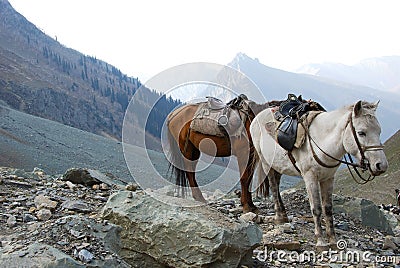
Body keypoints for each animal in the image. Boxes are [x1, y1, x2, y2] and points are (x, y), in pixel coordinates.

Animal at [250, 101, 388, 249]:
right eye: (361, 133)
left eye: (379, 131)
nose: (381, 165)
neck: (322, 141)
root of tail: (258, 117)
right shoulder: (310, 177)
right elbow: (316, 208)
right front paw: (321, 241)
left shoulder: (328, 178)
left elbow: (328, 209)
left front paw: (332, 240)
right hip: (266, 163)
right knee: (274, 187)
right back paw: (279, 217)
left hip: (278, 166)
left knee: (276, 182)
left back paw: (283, 214)